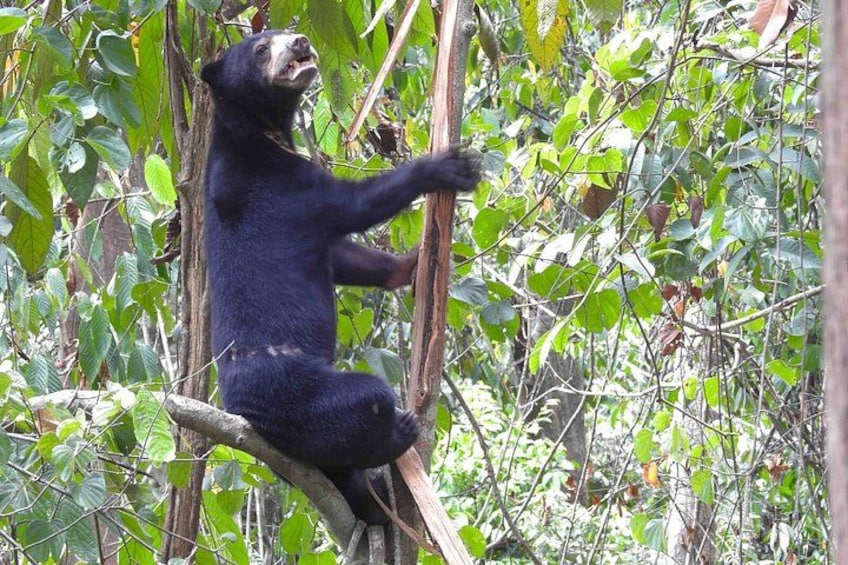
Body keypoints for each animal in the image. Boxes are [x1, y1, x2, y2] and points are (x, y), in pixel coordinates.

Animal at [200, 30, 480, 524]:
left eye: (284, 31)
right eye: (260, 49)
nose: (299, 41)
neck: (257, 130)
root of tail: (251, 422)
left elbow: (337, 254)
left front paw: (411, 263)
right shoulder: (281, 185)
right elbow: (354, 205)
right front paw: (450, 166)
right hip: (299, 398)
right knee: (366, 397)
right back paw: (399, 434)